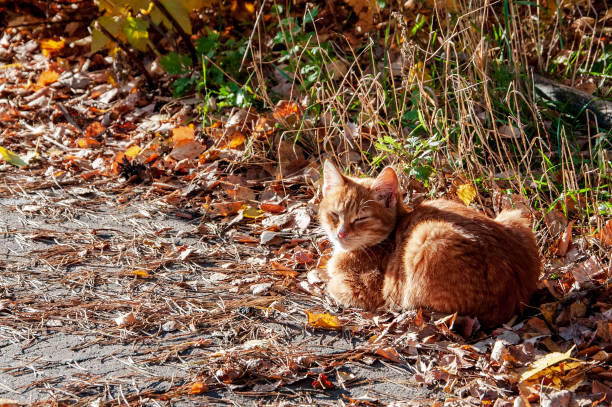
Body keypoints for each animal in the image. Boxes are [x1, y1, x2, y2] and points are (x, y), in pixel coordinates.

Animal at [320, 161, 540, 326]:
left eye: (361, 219)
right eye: (334, 215)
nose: (340, 234)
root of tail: (516, 299)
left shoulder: (363, 287)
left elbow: (332, 284)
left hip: (427, 236)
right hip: (515, 218)